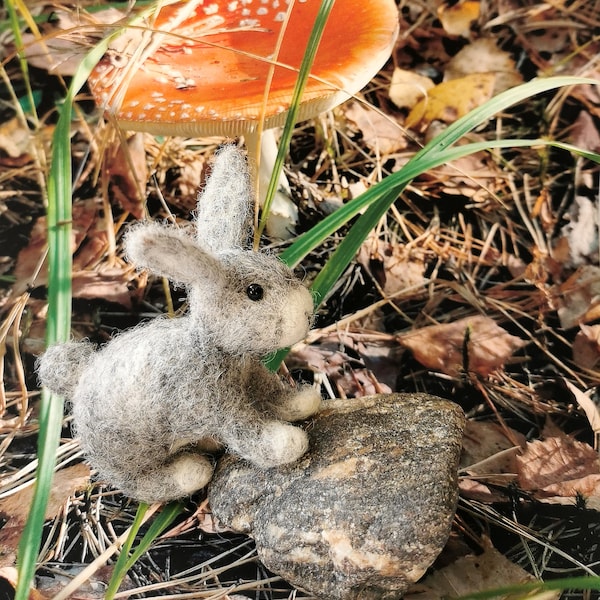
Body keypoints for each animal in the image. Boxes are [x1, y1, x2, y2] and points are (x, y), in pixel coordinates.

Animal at [37, 148, 322, 504]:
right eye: (255, 292)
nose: (308, 312)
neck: (212, 349)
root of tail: (78, 381)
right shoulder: (217, 406)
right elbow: (251, 437)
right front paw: (290, 443)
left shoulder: (250, 378)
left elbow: (275, 395)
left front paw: (304, 401)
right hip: (124, 455)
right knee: (141, 482)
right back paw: (189, 472)